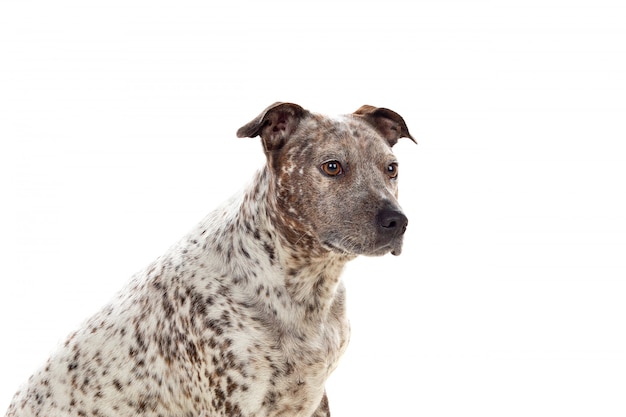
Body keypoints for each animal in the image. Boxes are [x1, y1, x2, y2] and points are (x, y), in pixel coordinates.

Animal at [6, 103, 414, 416]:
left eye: (391, 168)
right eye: (332, 166)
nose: (397, 221)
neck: (305, 288)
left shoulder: (316, 398)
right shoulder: (234, 404)